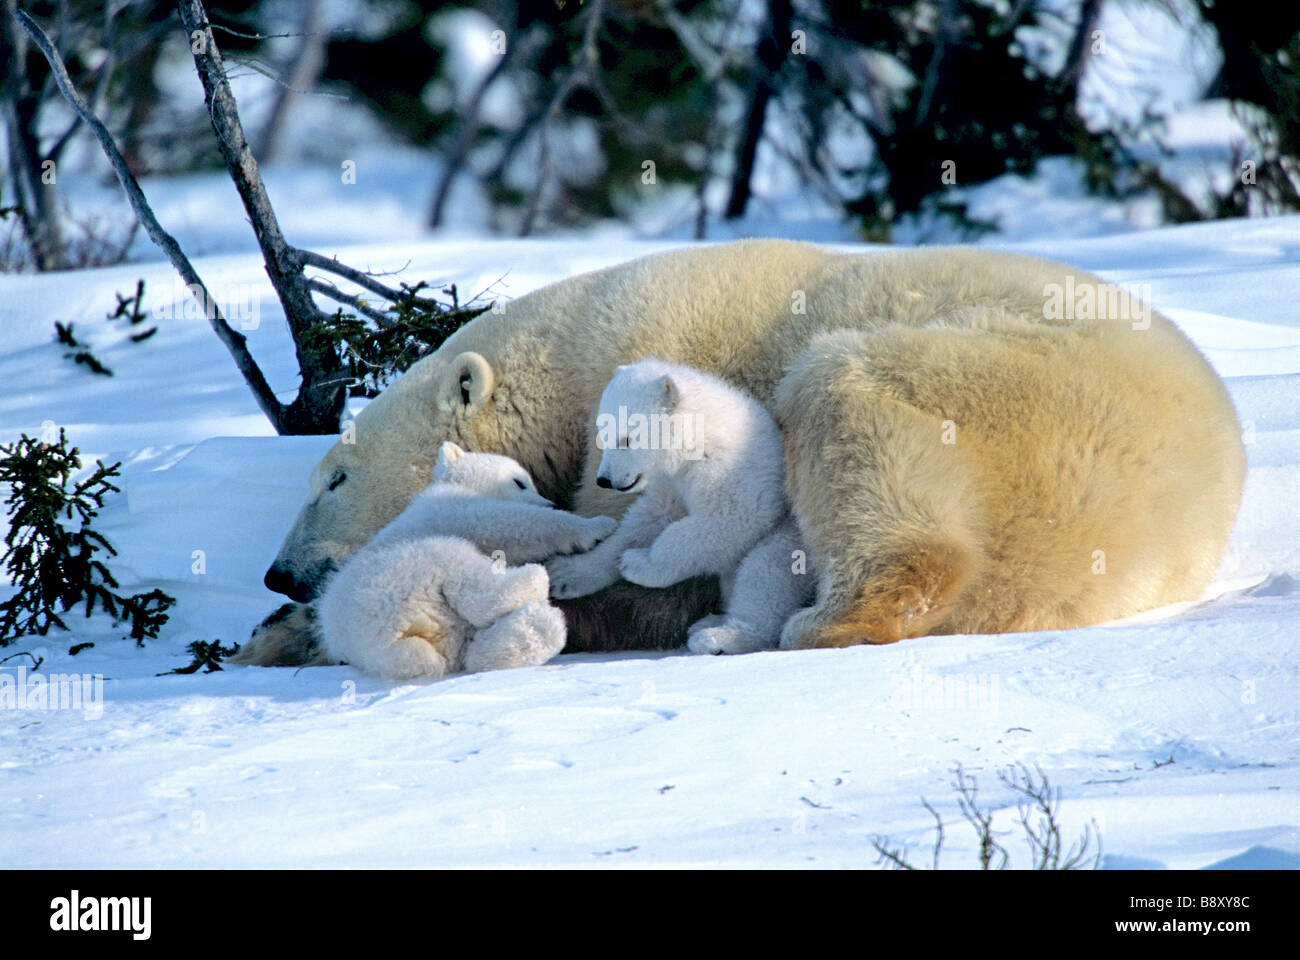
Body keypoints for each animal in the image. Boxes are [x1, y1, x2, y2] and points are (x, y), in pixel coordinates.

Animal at [273, 439, 613, 671]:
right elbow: (511, 523)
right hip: (407, 572)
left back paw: (535, 625)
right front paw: (597, 526)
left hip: (445, 634)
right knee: (465, 577)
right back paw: (534, 581)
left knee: (478, 647)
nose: (551, 503)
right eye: (520, 482)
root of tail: (385, 643)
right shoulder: (452, 509)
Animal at [546, 356, 811, 655]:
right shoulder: (672, 482)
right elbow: (647, 519)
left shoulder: (735, 471)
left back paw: (718, 636)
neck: (701, 438)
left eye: (626, 438)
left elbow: (728, 520)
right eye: (603, 433)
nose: (604, 480)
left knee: (765, 573)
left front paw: (638, 563)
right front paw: (565, 572)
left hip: (793, 536)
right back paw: (711, 620)